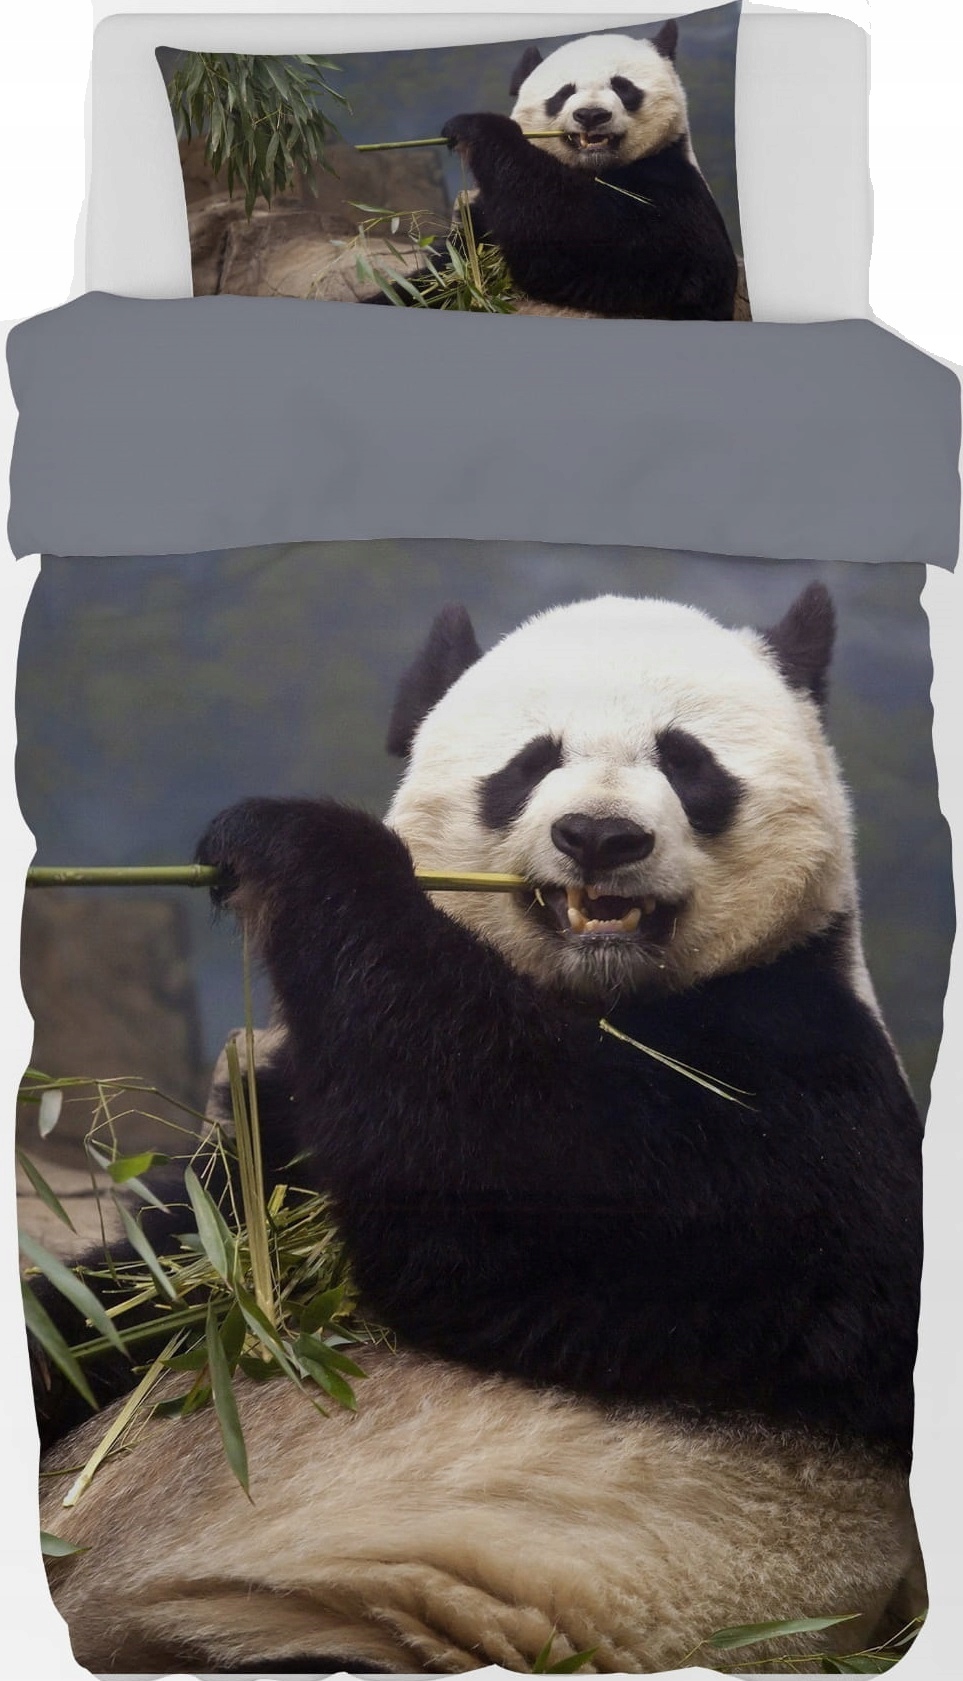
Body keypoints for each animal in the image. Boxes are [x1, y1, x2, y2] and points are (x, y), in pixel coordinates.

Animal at [34, 587, 923, 1675]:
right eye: (531, 761)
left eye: (687, 762)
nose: (599, 837)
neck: (599, 997)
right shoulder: (284, 1133)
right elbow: (165, 1278)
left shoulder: (810, 1069)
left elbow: (544, 1185)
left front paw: (294, 843)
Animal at [369, 22, 739, 320]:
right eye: (564, 93)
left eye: (623, 86)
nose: (591, 115)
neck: (594, 170)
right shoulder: (479, 229)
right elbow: (436, 279)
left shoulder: (672, 182)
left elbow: (613, 245)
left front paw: (477, 128)